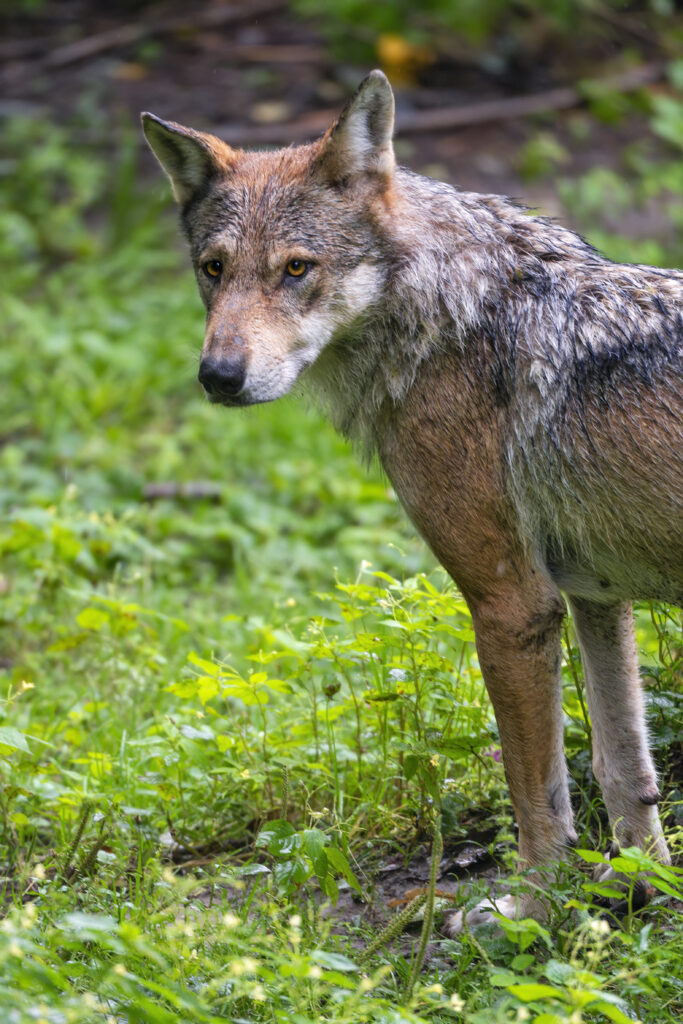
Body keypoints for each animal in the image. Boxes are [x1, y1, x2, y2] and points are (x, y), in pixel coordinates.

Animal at [142, 70, 682, 928]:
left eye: (296, 269)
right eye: (213, 269)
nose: (218, 377)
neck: (449, 316)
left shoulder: (512, 604)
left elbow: (537, 798)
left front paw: (528, 913)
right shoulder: (594, 594)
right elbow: (622, 770)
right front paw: (637, 890)